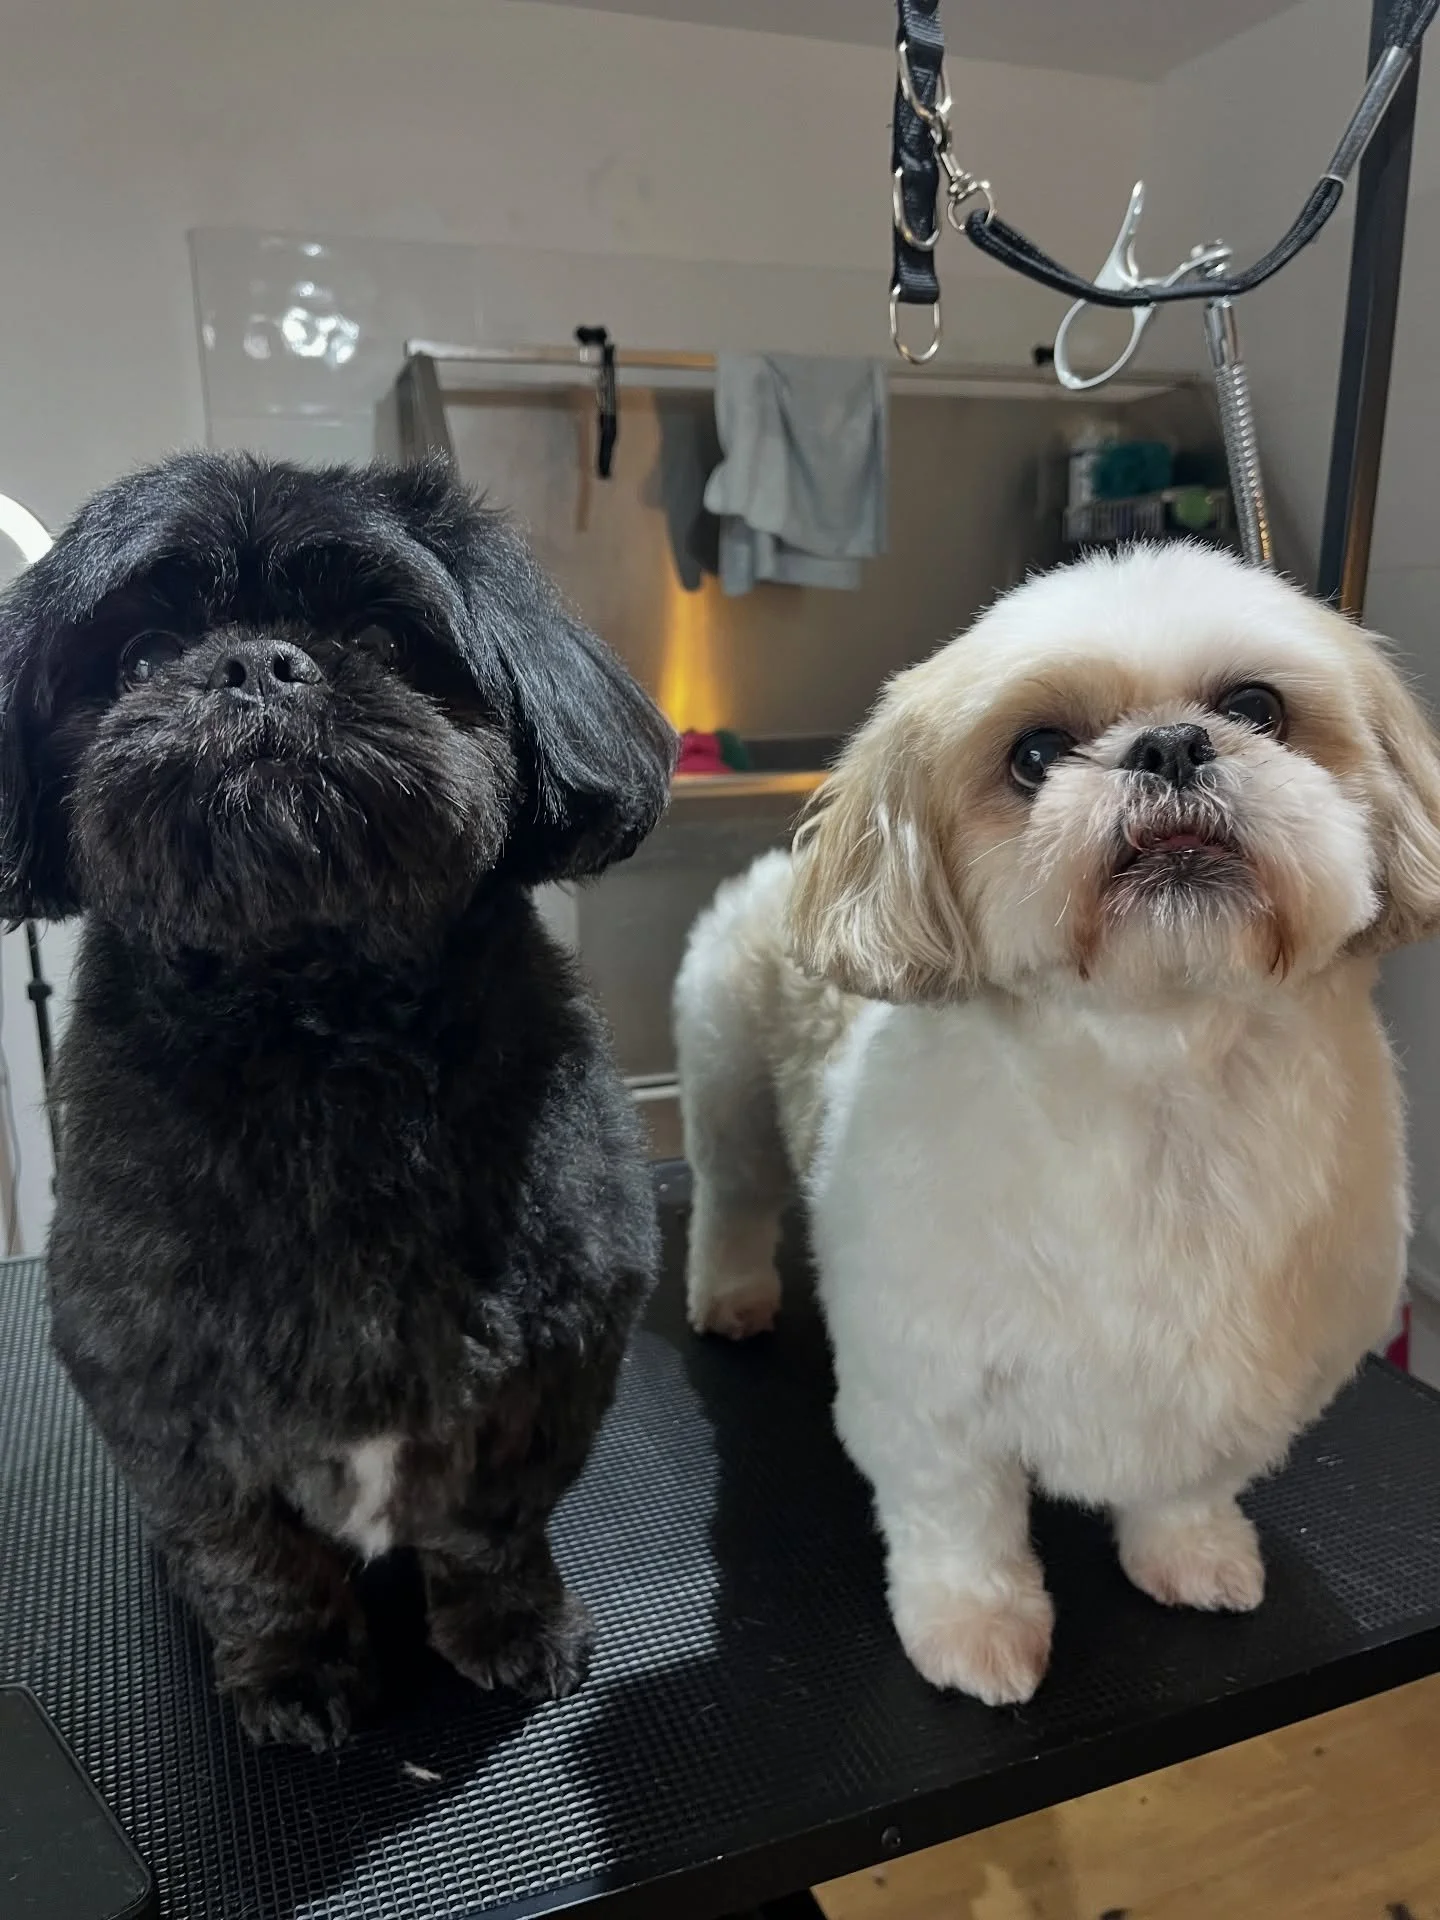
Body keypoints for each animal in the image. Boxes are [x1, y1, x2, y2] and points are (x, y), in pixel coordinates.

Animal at [0, 452, 677, 1749]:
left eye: (379, 636)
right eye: (142, 653)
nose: (258, 664)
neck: (317, 1023)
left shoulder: (553, 1356)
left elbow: (492, 1527)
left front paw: (507, 1625)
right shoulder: (160, 1383)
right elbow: (251, 1555)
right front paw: (294, 1667)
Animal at [675, 542, 1440, 1708]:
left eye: (1255, 707)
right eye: (1036, 753)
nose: (1170, 744)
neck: (1163, 1084)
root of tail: (781, 865)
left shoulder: (1249, 1381)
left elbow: (1189, 1484)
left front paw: (1191, 1555)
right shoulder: (927, 1388)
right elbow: (961, 1522)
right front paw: (976, 1629)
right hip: (727, 1085)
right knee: (731, 1199)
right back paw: (731, 1296)